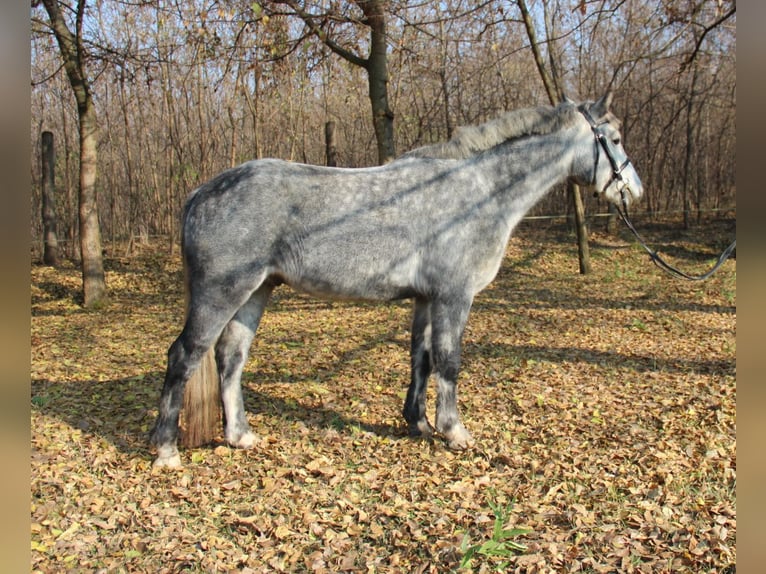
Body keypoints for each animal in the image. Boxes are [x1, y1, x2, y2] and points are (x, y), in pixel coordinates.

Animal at [148, 93, 640, 468]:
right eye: (614, 139)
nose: (633, 191)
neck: (479, 192)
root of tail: (199, 194)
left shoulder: (425, 298)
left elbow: (420, 359)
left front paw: (418, 423)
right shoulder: (454, 296)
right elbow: (448, 361)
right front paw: (454, 431)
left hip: (255, 292)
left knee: (230, 358)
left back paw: (240, 436)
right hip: (222, 292)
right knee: (185, 356)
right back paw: (167, 451)